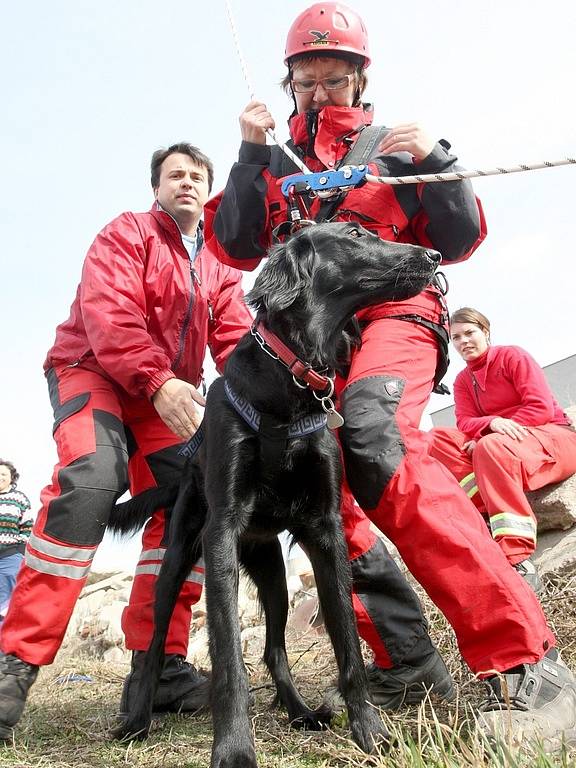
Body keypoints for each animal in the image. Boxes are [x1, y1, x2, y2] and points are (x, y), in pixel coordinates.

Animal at [109, 219, 440, 764]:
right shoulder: (221, 534)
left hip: (273, 575)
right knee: (155, 641)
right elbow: (228, 659)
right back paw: (136, 720)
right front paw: (235, 750)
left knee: (273, 648)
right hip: (177, 559)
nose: (432, 255)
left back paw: (301, 711)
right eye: (354, 233)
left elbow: (348, 643)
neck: (292, 374)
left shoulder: (325, 532)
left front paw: (370, 731)